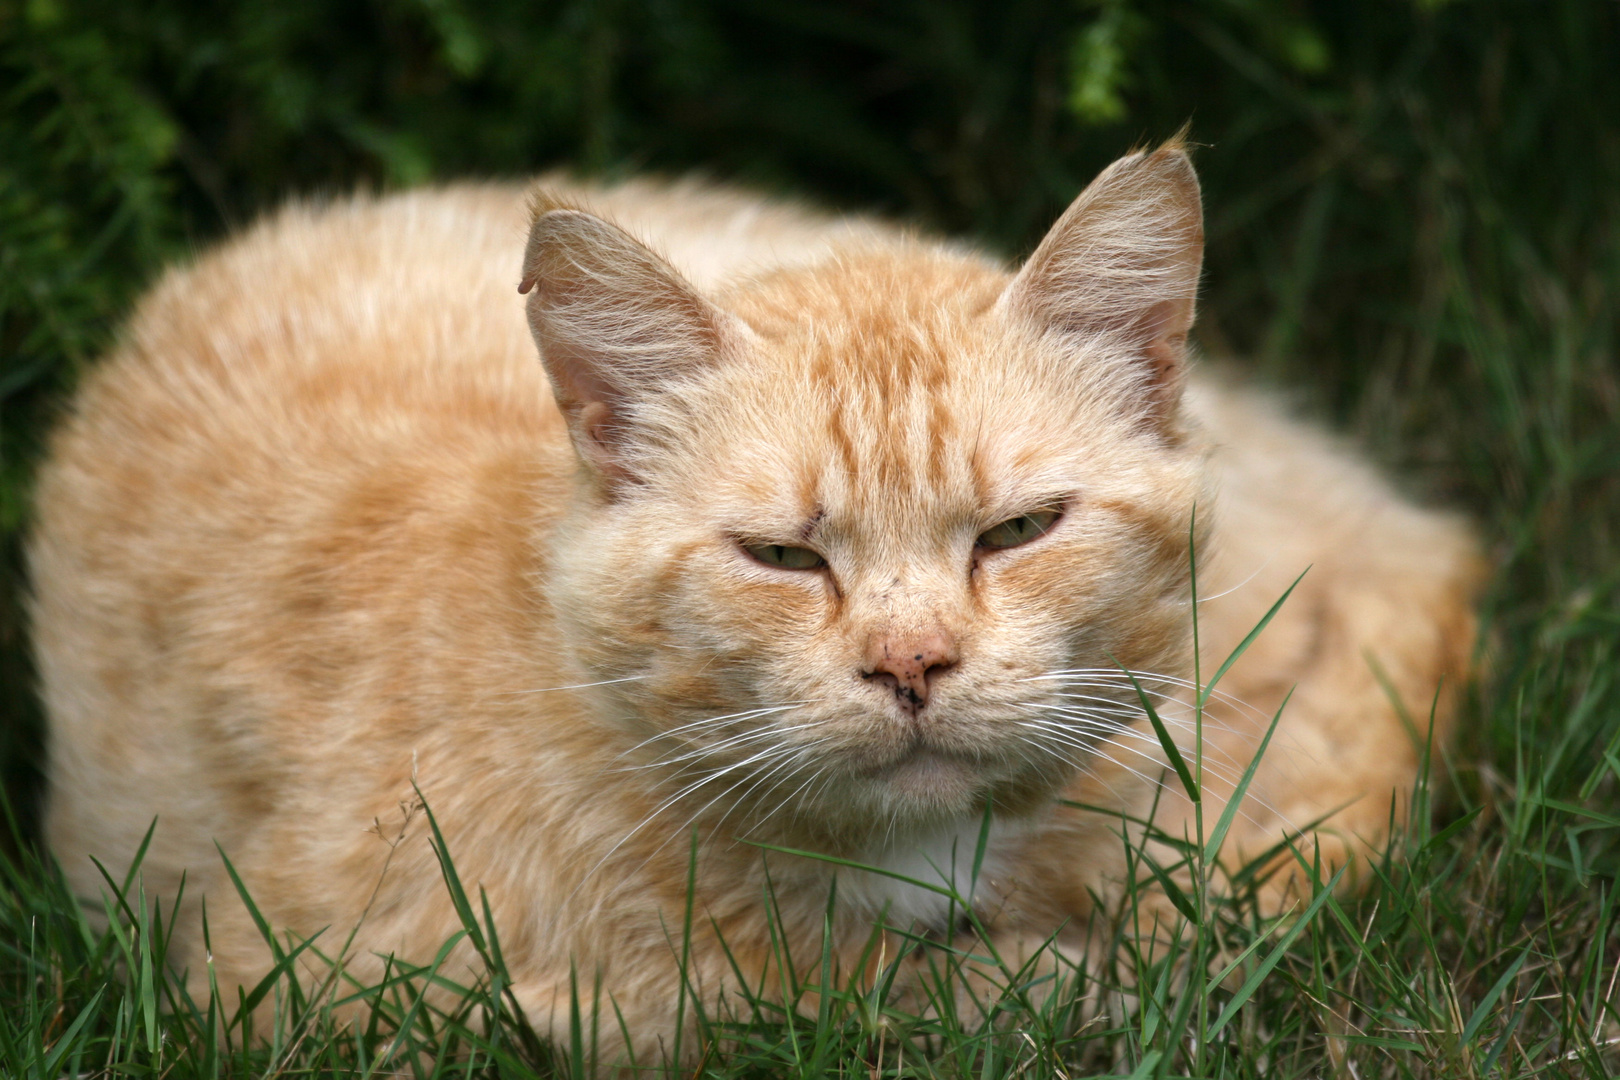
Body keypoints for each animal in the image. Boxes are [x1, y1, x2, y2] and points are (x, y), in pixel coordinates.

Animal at [34, 139, 1483, 1062]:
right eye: (784, 558)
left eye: (1017, 532)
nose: (912, 665)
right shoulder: (303, 988)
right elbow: (749, 1008)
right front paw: (1025, 982)